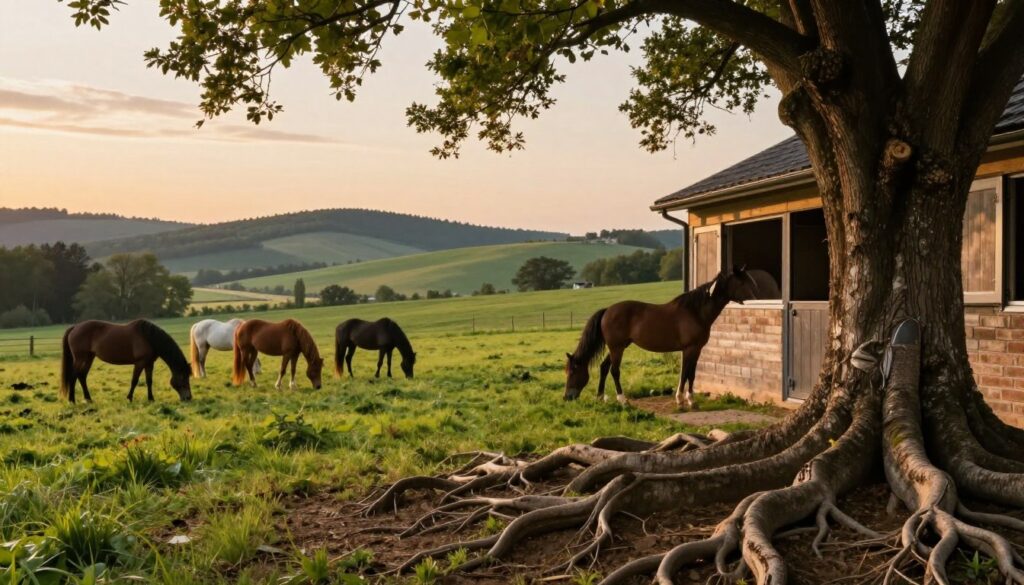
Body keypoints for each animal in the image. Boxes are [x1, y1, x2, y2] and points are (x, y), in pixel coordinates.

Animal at [60, 320, 192, 403]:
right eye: (184, 379)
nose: (188, 398)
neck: (148, 337)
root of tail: (75, 327)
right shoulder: (139, 363)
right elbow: (134, 381)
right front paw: (129, 398)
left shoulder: (149, 363)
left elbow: (149, 381)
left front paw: (151, 399)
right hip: (80, 358)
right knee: (73, 376)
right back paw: (72, 400)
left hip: (89, 358)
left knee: (82, 376)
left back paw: (88, 399)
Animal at [564, 266, 759, 409]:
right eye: (742, 282)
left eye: (572, 371)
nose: (567, 397)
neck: (695, 311)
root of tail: (607, 311)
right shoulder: (689, 349)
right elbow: (686, 373)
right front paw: (681, 400)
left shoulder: (696, 350)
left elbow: (692, 374)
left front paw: (691, 400)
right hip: (617, 347)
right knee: (614, 370)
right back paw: (622, 400)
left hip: (617, 347)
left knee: (605, 367)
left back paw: (600, 397)